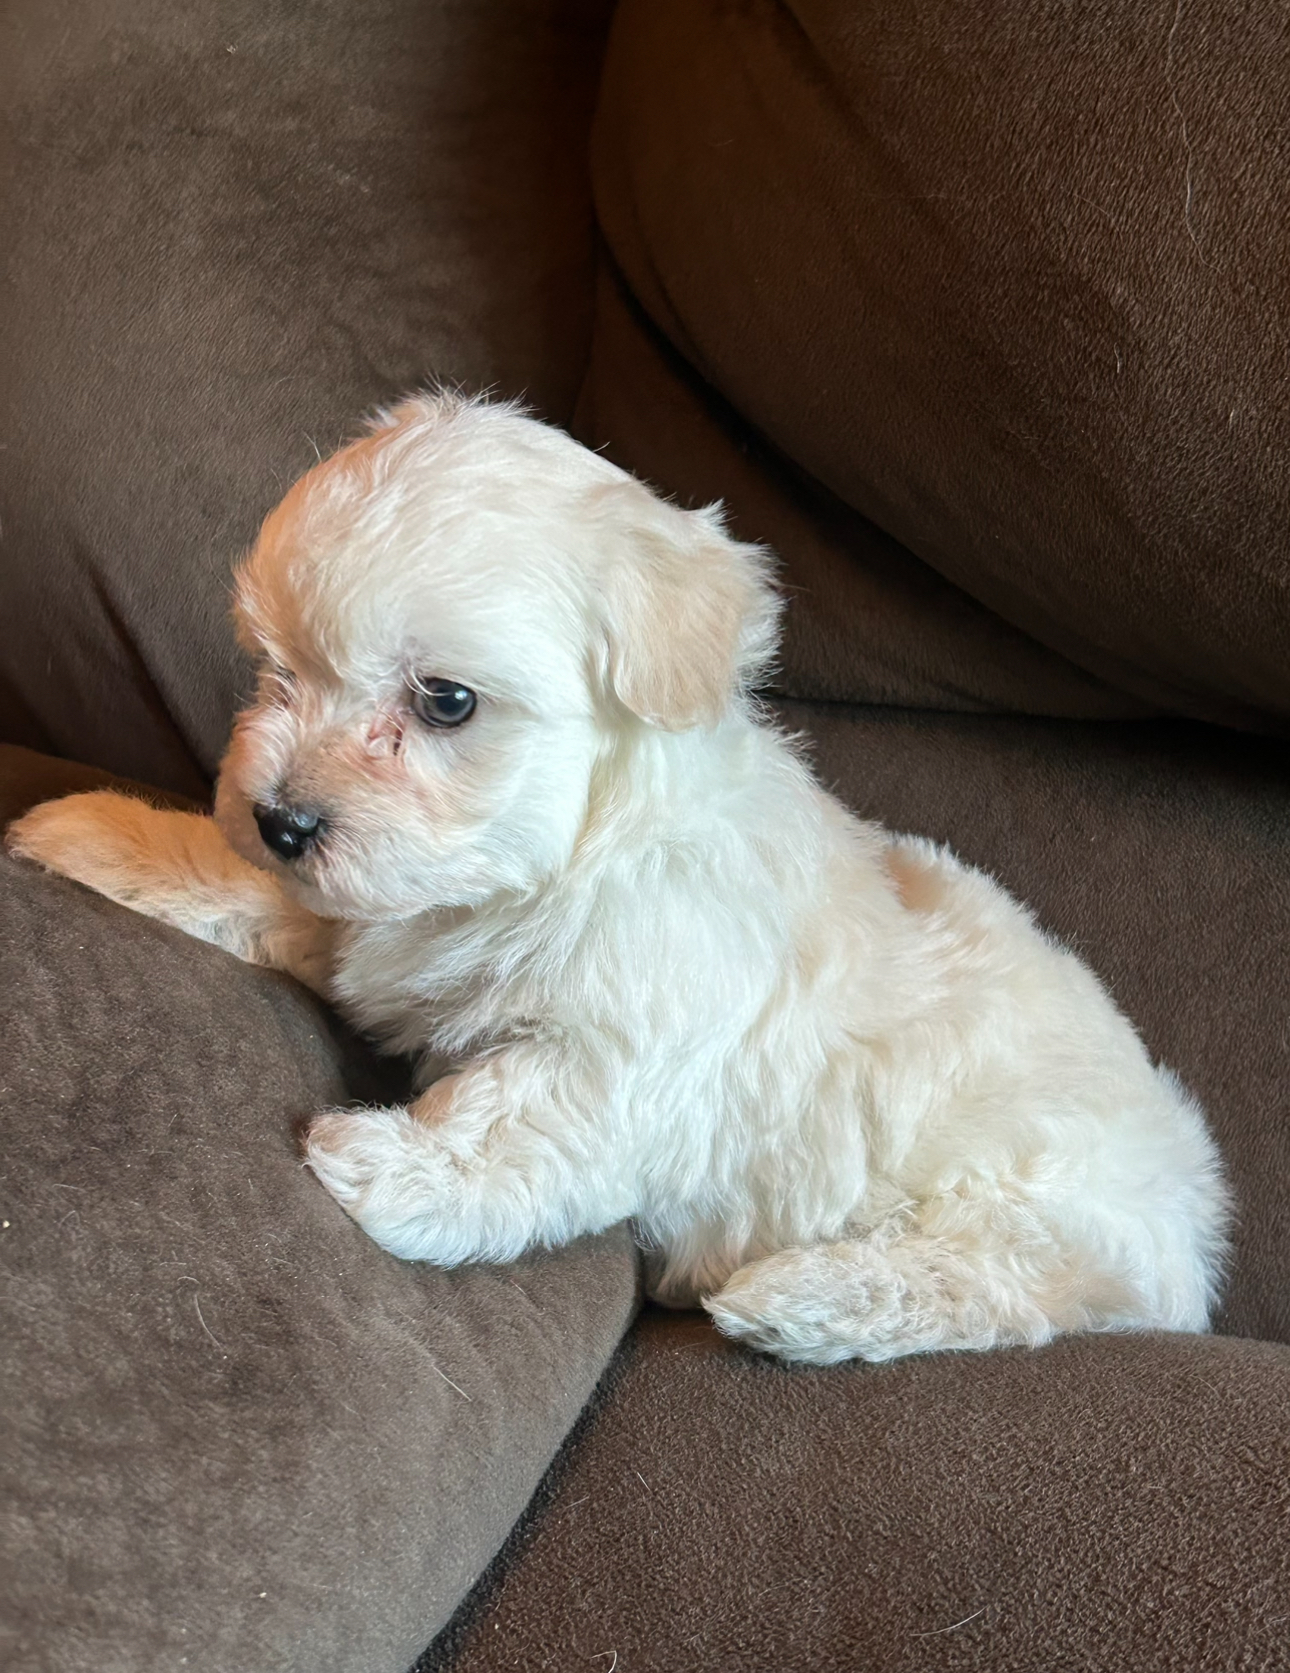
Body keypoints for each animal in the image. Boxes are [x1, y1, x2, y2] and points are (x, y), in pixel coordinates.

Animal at [10, 398, 1231, 1365]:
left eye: (447, 700)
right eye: (277, 670)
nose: (283, 819)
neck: (559, 858)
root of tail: (1192, 1205)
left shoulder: (627, 1057)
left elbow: (512, 1115)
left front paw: (393, 1168)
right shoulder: (383, 912)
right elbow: (277, 903)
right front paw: (105, 837)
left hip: (1041, 1211)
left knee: (994, 1285)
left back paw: (800, 1299)